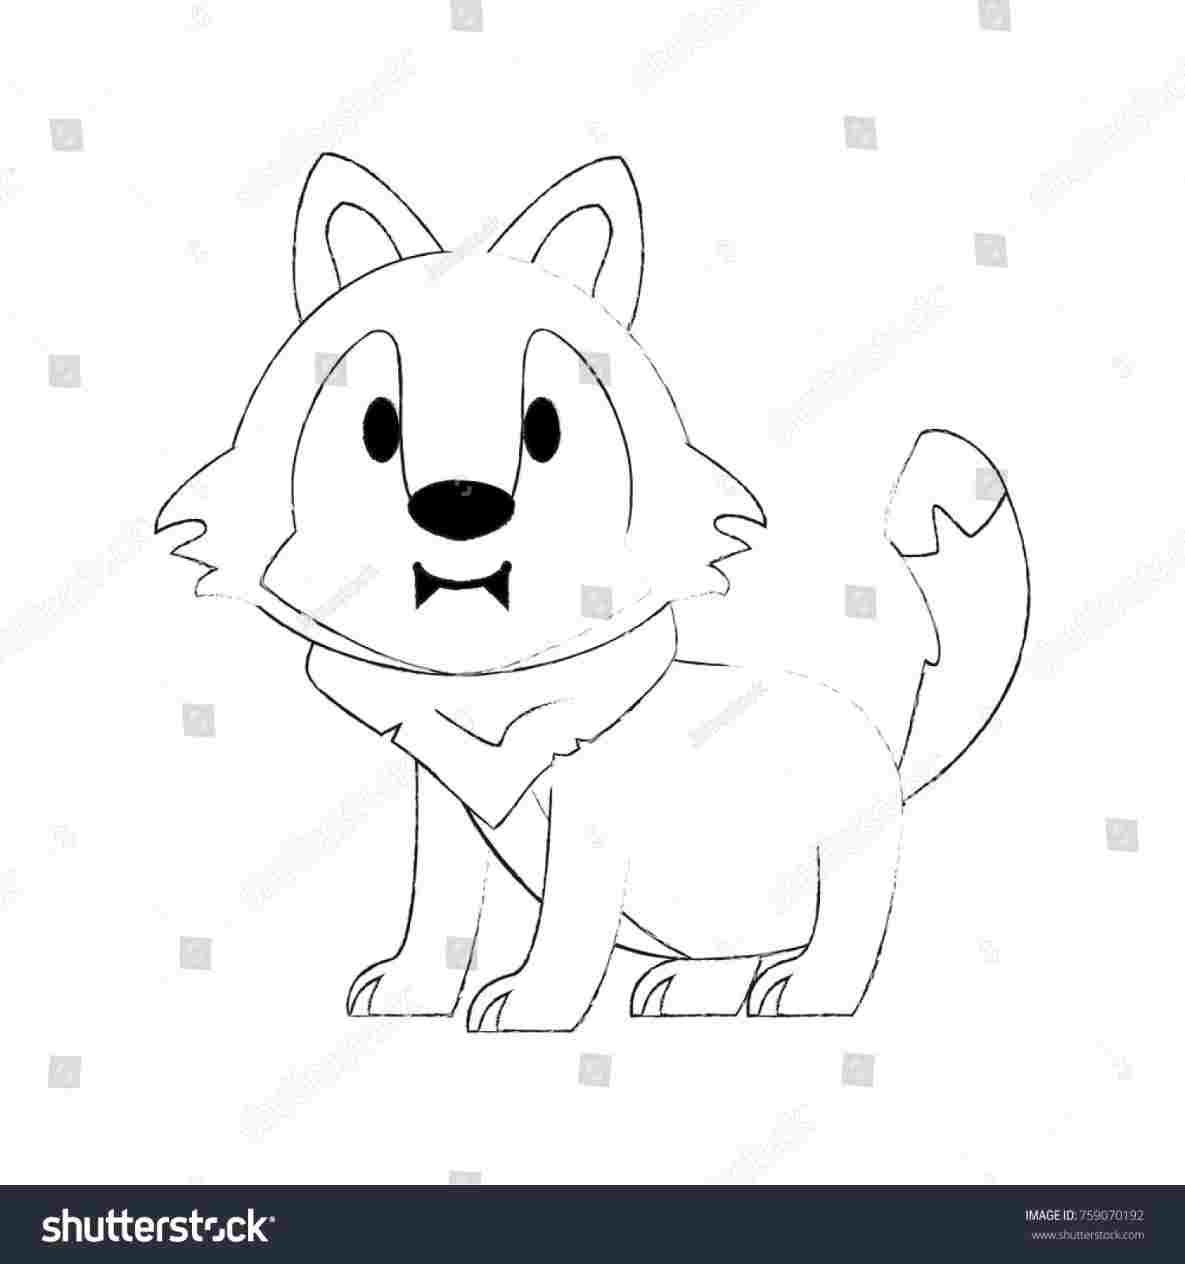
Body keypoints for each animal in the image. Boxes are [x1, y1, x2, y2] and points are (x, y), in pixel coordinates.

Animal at [157, 153, 1030, 1031]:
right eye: (378, 426)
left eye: (544, 427)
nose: (460, 502)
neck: (488, 693)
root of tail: (884, 739)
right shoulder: (440, 798)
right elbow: (437, 905)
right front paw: (412, 989)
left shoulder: (591, 820)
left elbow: (568, 919)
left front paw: (532, 1002)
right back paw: (695, 990)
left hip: (845, 850)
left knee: (849, 928)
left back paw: (809, 991)